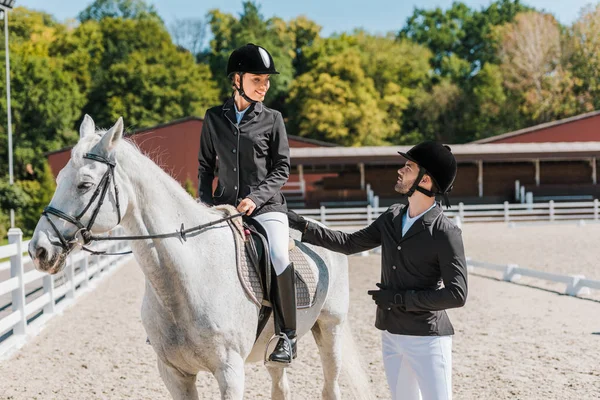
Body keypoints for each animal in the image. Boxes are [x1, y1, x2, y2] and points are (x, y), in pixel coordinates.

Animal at [30, 116, 372, 400]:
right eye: (58, 179)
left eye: (84, 184)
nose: (38, 250)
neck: (186, 279)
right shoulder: (174, 374)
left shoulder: (230, 373)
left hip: (330, 329)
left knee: (330, 387)